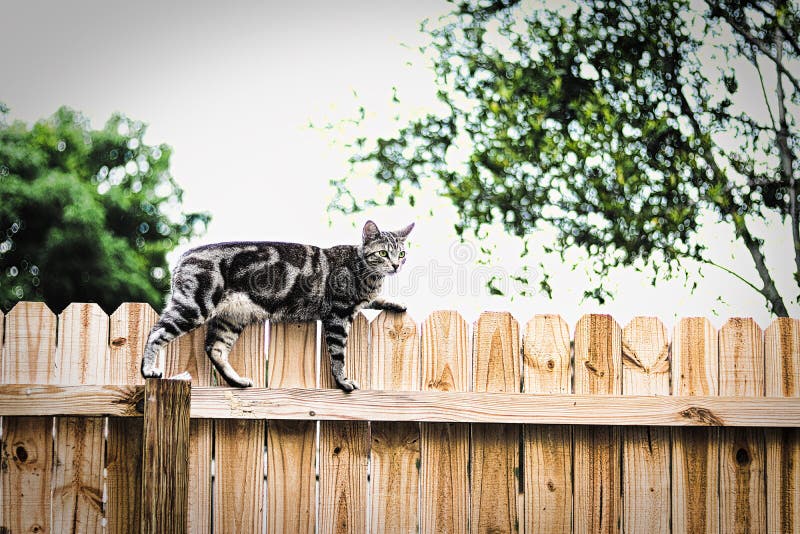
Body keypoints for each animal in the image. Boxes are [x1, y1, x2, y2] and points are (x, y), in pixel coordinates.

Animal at [141, 222, 412, 394]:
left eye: (402, 253)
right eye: (383, 253)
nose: (396, 265)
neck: (366, 273)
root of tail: (182, 257)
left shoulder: (361, 301)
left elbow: (376, 299)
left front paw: (396, 303)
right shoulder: (338, 315)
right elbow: (338, 355)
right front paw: (343, 381)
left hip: (231, 318)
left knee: (214, 348)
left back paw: (238, 382)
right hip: (194, 307)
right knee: (155, 332)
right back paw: (148, 370)